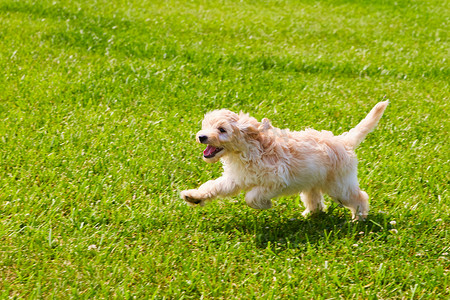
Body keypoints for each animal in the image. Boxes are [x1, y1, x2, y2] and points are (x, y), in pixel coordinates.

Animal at [179, 101, 386, 220]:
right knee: (315, 201)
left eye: (222, 129)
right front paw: (194, 196)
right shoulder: (235, 178)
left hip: (339, 186)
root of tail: (344, 141)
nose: (201, 136)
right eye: (205, 126)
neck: (247, 150)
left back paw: (358, 218)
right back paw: (308, 215)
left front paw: (264, 205)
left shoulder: (276, 179)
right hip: (312, 182)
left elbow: (251, 196)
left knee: (360, 197)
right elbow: (213, 186)